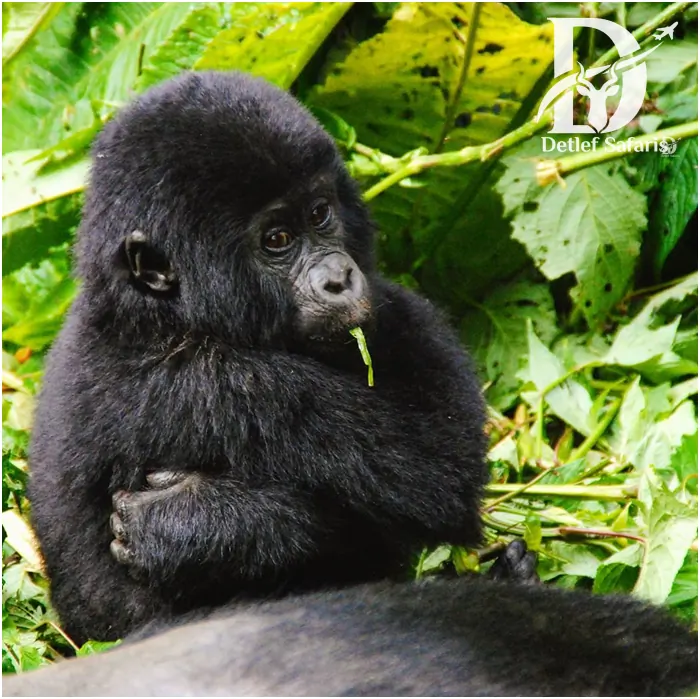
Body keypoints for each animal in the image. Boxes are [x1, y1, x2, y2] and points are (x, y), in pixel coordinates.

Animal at [28, 70, 492, 643]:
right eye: (277, 240)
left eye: (320, 214)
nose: (340, 278)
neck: (153, 316)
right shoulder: (221, 382)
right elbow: (436, 476)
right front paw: (211, 525)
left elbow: (447, 437)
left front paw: (185, 525)